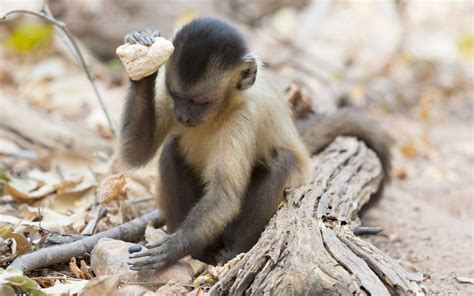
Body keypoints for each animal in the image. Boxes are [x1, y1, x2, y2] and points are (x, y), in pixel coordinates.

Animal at [120, 17, 390, 270]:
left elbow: (224, 197)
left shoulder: (243, 117)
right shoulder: (168, 100)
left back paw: (232, 254)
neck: (223, 109)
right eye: (177, 96)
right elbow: (136, 153)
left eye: (201, 102)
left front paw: (171, 249)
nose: (183, 117)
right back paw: (200, 254)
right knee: (171, 150)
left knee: (282, 160)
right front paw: (142, 55)